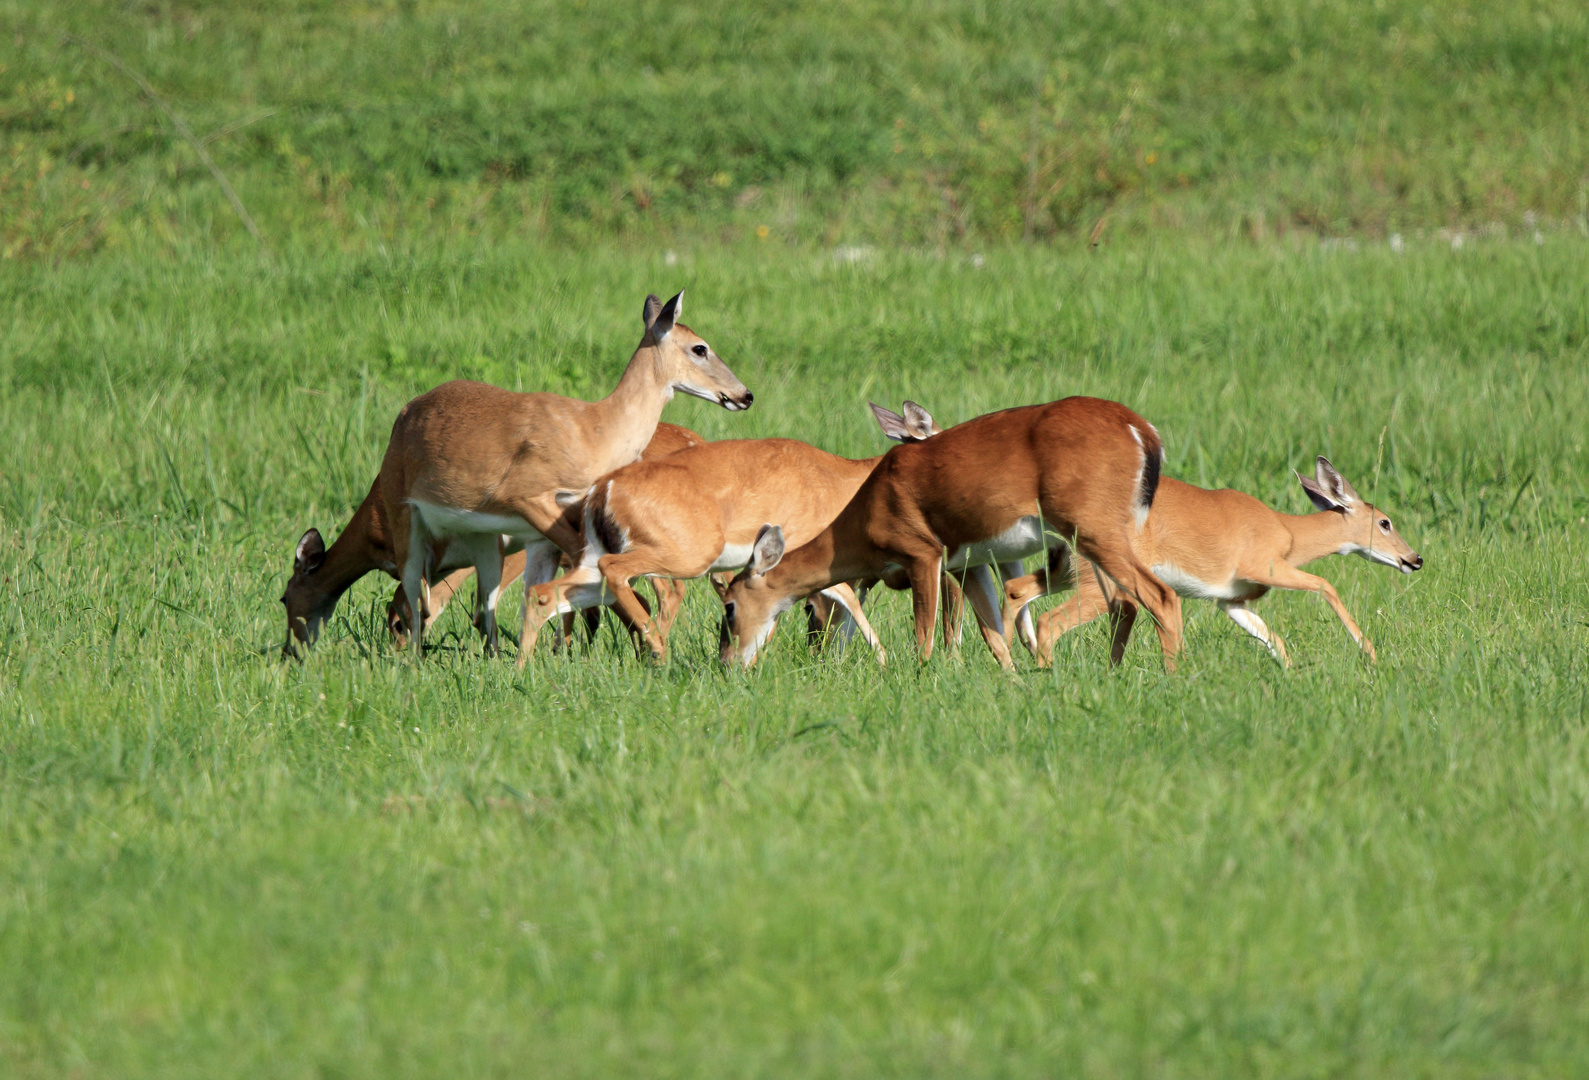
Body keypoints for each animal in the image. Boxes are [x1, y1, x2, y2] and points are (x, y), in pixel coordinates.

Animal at [279, 290, 750, 654]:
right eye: (700, 347)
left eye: (284, 597)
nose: (743, 395)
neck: (595, 430)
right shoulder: (527, 500)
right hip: (417, 519)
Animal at [718, 397, 1182, 667]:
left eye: (729, 608)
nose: (726, 663)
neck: (864, 516)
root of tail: (1143, 431)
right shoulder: (969, 563)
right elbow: (994, 637)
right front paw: (1015, 684)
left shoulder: (922, 551)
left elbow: (925, 635)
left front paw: (922, 679)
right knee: (1125, 602)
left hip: (1093, 527)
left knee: (1159, 596)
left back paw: (1169, 676)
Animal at [997, 454, 1423, 667]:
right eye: (1385, 522)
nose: (1414, 559)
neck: (1286, 532)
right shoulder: (1260, 564)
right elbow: (1325, 584)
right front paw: (1369, 653)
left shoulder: (1230, 599)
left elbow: (1271, 638)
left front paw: (1290, 674)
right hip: (1100, 579)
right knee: (1052, 619)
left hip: (1067, 570)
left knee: (1017, 588)